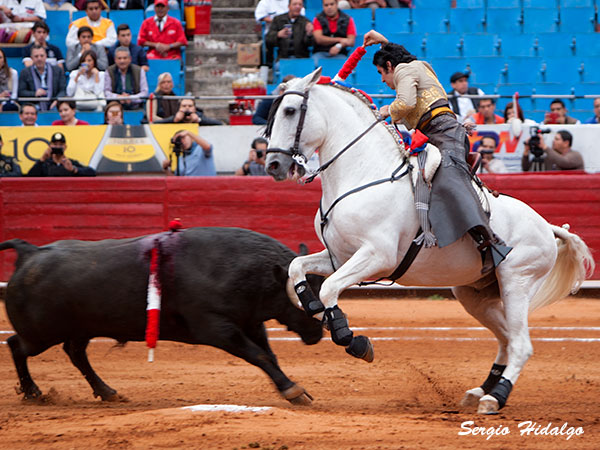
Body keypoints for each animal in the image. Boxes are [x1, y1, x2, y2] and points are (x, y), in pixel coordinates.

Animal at [0, 229, 326, 404]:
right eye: (304, 299)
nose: (317, 333)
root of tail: (30, 253)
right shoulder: (216, 327)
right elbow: (257, 355)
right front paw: (292, 390)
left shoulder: (251, 322)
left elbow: (268, 355)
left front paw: (292, 388)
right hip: (40, 334)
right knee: (18, 345)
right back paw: (33, 392)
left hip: (80, 329)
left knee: (75, 353)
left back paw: (107, 392)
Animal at [264, 68, 592, 416]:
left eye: (290, 111)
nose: (273, 165)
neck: (365, 174)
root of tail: (548, 227)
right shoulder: (339, 255)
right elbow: (296, 268)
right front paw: (312, 307)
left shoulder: (376, 256)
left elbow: (329, 288)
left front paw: (351, 338)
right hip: (474, 293)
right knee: (505, 338)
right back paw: (480, 390)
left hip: (516, 282)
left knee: (521, 344)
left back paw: (495, 397)